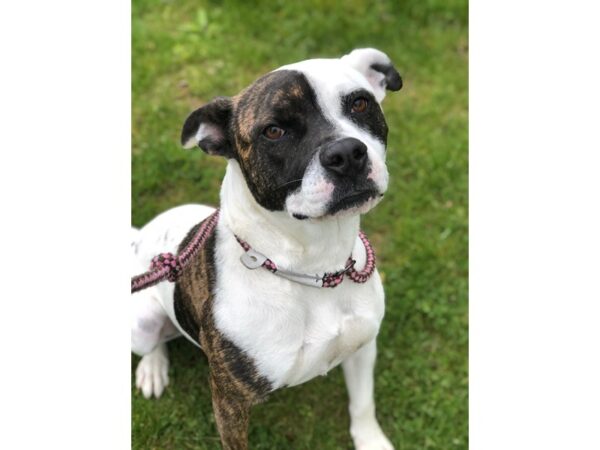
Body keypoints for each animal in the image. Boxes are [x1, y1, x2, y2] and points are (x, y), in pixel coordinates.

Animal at [132, 47, 404, 448]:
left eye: (359, 103)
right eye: (274, 131)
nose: (346, 153)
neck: (315, 267)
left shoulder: (363, 347)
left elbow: (363, 404)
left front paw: (371, 440)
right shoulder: (229, 403)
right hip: (142, 322)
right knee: (152, 342)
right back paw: (153, 369)